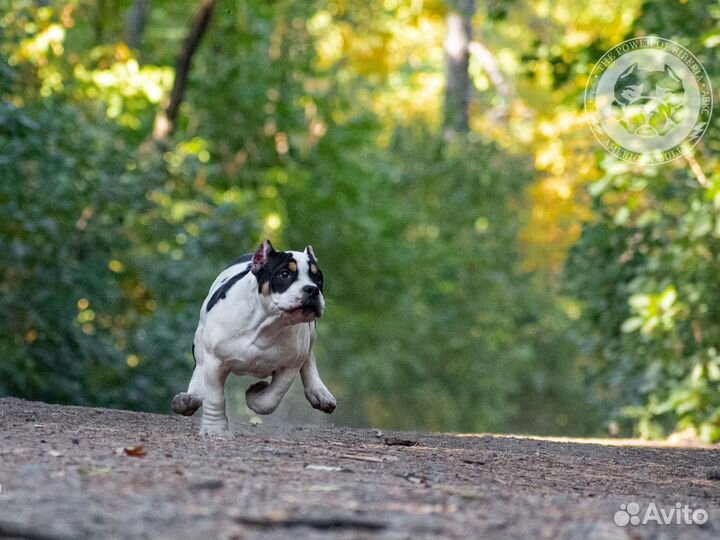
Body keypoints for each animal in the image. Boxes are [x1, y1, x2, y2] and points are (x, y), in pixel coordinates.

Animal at [173, 239, 336, 434]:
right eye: (285, 274)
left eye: (318, 278)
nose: (312, 289)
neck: (267, 325)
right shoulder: (215, 360)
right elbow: (215, 396)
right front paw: (215, 429)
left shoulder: (289, 366)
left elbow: (271, 398)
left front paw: (256, 394)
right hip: (200, 337)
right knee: (200, 365)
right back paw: (191, 397)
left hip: (310, 333)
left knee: (309, 357)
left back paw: (319, 392)